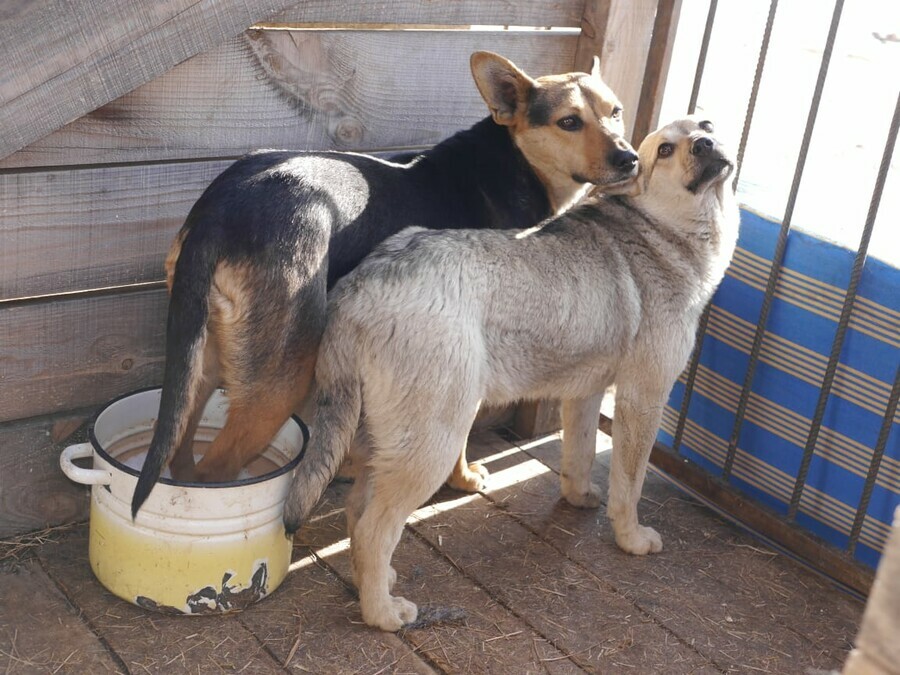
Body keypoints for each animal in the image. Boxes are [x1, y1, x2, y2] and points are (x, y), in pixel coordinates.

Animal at [132, 51, 640, 516]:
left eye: (615, 111)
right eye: (568, 122)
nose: (629, 158)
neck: (515, 162)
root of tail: (219, 208)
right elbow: (460, 437)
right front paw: (461, 479)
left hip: (203, 357)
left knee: (180, 451)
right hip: (280, 378)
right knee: (215, 472)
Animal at [286, 117, 740, 632]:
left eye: (705, 125)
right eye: (665, 149)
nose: (705, 143)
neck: (663, 233)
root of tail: (356, 287)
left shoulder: (584, 395)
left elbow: (580, 455)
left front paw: (580, 497)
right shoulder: (643, 398)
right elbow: (630, 484)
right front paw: (632, 538)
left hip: (388, 444)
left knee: (356, 511)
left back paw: (376, 581)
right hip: (432, 446)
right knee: (372, 531)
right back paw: (383, 613)